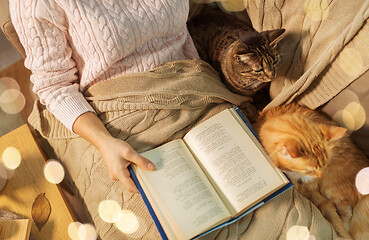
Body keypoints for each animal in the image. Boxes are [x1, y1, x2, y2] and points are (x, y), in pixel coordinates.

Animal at [254, 103, 368, 240]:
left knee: (346, 211)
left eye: (325, 164)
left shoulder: (313, 188)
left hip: (331, 187)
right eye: (310, 170)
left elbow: (332, 213)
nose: (321, 175)